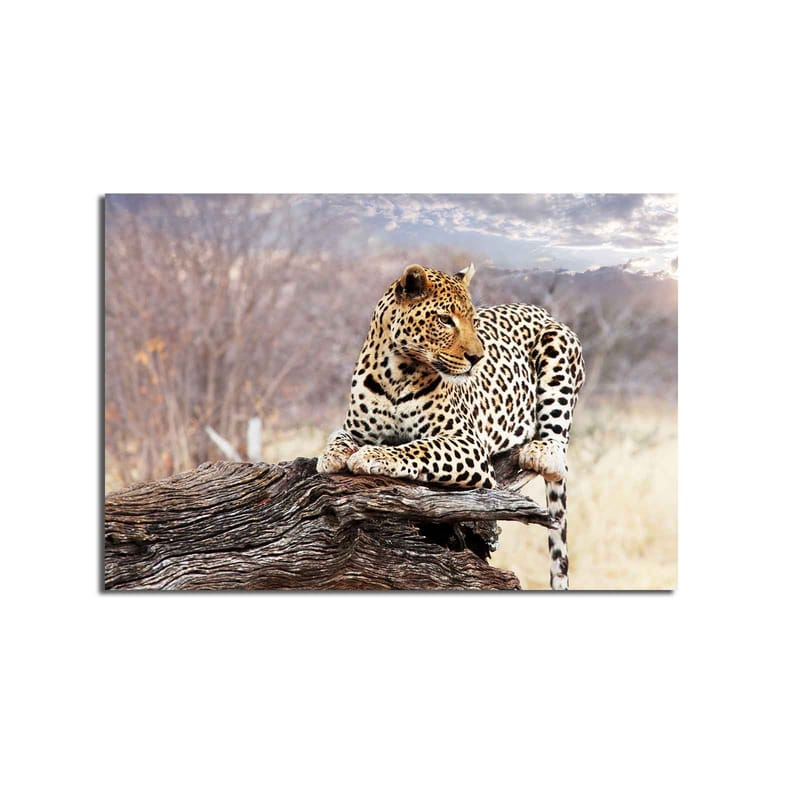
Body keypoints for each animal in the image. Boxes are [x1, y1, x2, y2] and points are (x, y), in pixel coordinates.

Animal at [317, 263, 585, 589]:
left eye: (473, 320)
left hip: (557, 347)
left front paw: (372, 455)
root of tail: (541, 311)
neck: (397, 372)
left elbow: (419, 447)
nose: (477, 358)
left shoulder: (467, 442)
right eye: (445, 320)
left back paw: (540, 452)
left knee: (558, 452)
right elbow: (338, 437)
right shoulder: (355, 428)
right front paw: (331, 456)